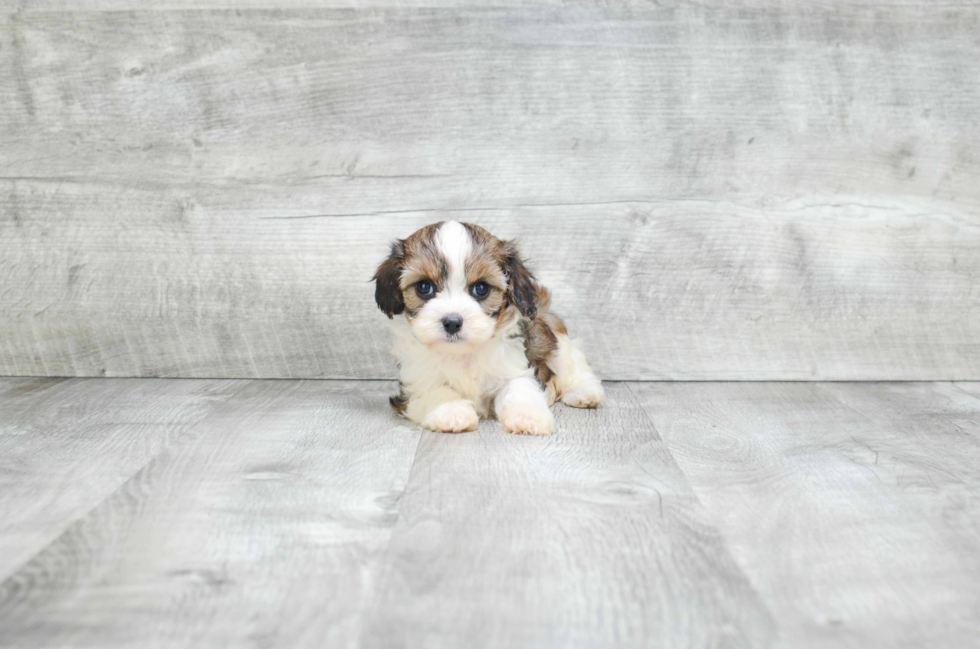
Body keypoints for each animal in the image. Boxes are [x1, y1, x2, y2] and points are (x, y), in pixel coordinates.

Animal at [372, 219, 600, 436]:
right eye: (424, 287)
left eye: (481, 288)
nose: (452, 322)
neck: (462, 354)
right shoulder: (415, 383)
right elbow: (435, 391)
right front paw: (451, 411)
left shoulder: (514, 365)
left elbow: (520, 387)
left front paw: (528, 416)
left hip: (552, 334)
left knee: (572, 365)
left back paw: (585, 392)